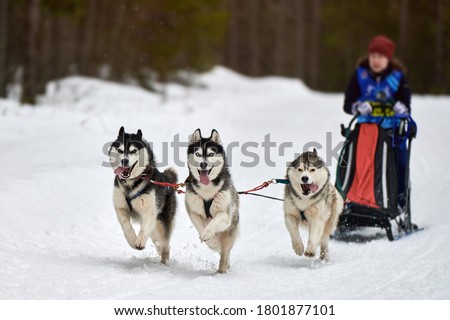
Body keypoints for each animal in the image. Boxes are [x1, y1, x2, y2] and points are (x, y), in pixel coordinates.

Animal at [109, 126, 178, 264]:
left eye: (133, 151)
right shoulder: (121, 208)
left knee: (165, 244)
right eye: (120, 150)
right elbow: (126, 226)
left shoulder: (149, 211)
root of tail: (167, 179)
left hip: (160, 222)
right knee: (157, 240)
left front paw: (140, 241)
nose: (124, 161)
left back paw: (164, 261)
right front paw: (132, 240)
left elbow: (144, 229)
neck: (131, 184)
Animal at [185, 129, 239, 274]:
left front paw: (208, 232)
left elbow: (215, 221)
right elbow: (199, 224)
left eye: (210, 154)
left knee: (224, 255)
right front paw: (207, 236)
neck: (207, 190)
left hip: (229, 233)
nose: (203, 164)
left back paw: (222, 270)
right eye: (198, 154)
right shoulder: (192, 210)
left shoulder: (225, 215)